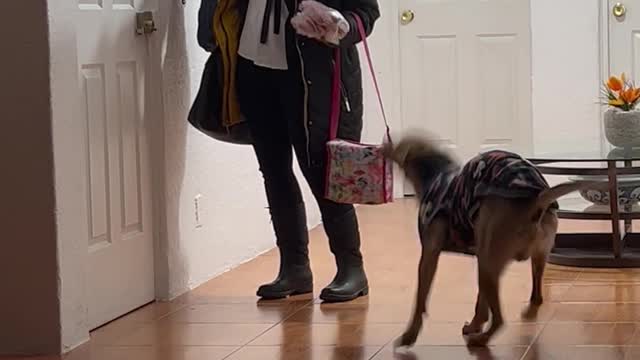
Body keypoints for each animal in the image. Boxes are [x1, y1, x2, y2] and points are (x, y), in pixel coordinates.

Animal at [384, 134, 604, 348]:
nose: (383, 147)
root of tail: (535, 201)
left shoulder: (429, 257)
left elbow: (420, 300)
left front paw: (409, 335)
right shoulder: (479, 253)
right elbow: (480, 304)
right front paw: (474, 324)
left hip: (488, 265)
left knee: (500, 320)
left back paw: (480, 340)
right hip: (526, 258)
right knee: (535, 299)